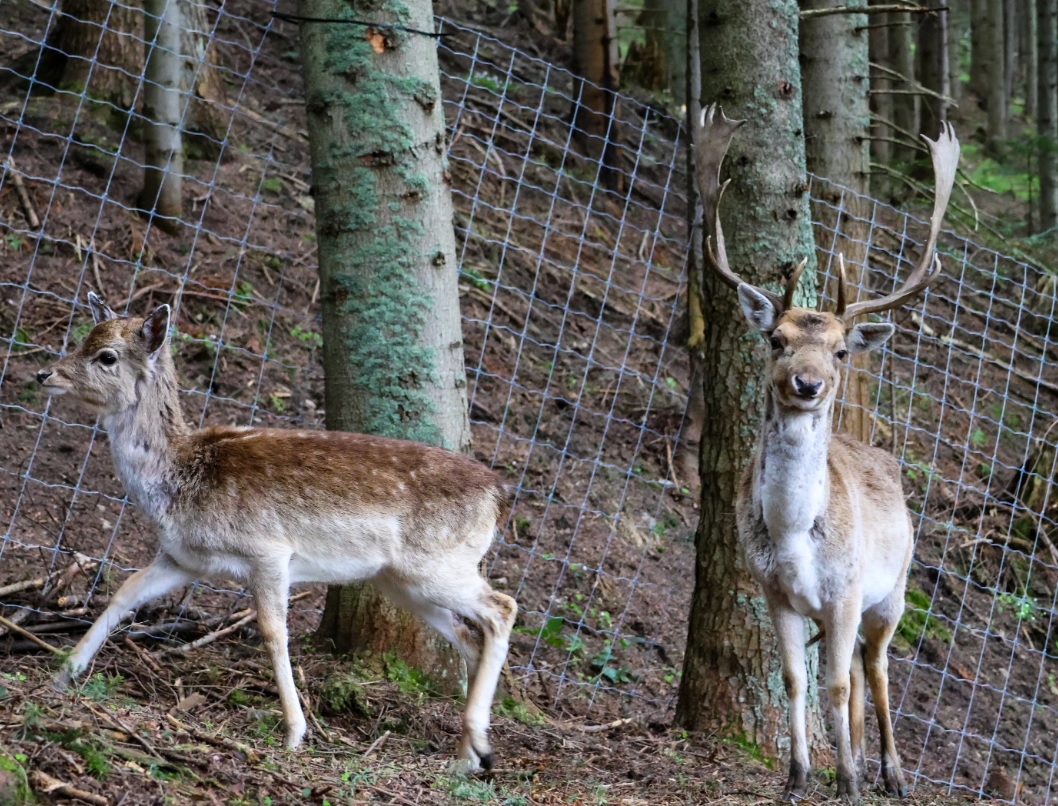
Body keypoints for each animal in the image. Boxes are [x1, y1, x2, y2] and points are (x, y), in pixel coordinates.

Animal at [36, 291, 520, 770]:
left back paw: (479, 745)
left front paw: (294, 732)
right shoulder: (182, 557)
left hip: (436, 564)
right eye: (83, 338)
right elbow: (126, 590)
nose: (44, 372)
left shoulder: (267, 550)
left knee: (503, 608)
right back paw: (467, 757)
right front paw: (62, 673)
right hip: (402, 582)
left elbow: (273, 631)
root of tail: (500, 496)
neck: (179, 479)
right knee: (468, 635)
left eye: (106, 356)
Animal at [694, 105, 960, 799]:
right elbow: (796, 681)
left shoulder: (845, 591)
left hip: (893, 589)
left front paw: (846, 783)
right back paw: (864, 760)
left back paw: (891, 774)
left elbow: (835, 685)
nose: (807, 384)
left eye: (840, 349)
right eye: (776, 340)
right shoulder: (775, 592)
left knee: (877, 666)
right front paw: (797, 778)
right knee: (863, 675)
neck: (794, 533)